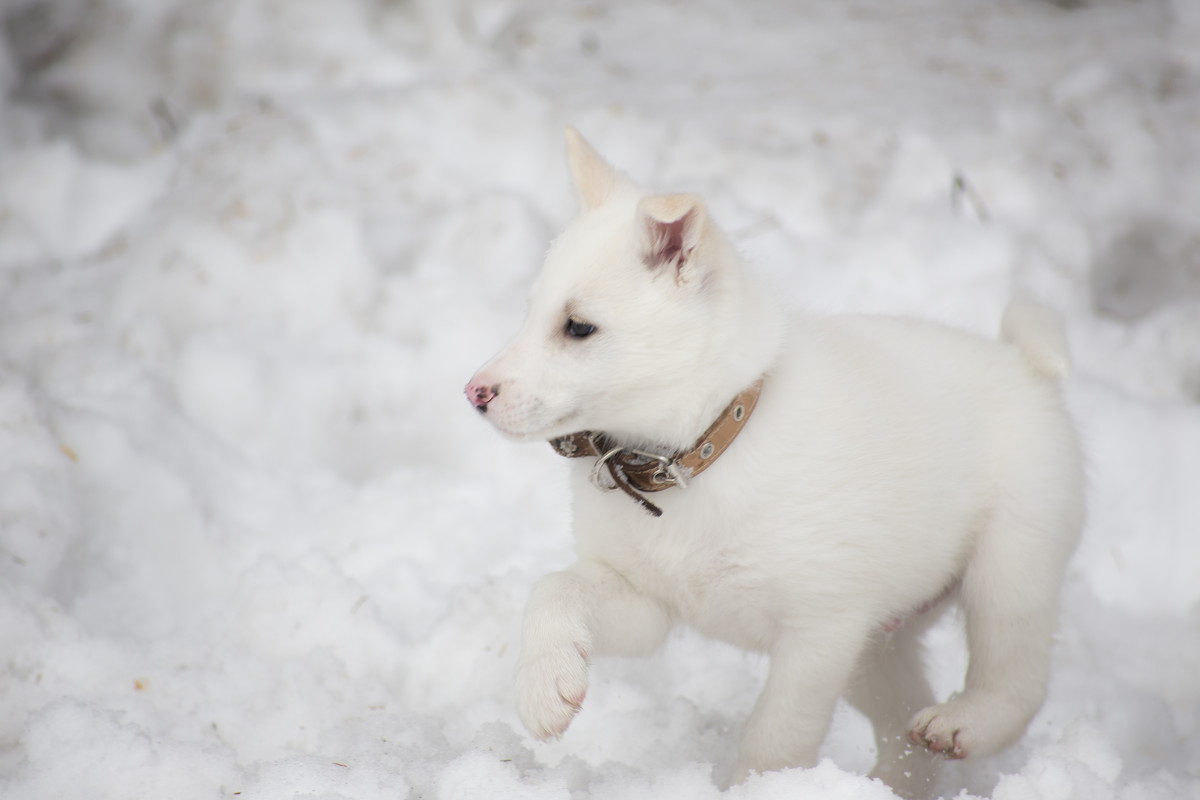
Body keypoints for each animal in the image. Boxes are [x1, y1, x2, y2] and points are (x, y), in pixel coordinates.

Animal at [463, 128, 1084, 796]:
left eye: (579, 327)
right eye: (529, 312)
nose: (473, 392)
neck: (693, 459)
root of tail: (1026, 364)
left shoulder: (818, 634)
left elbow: (775, 736)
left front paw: (760, 785)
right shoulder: (644, 604)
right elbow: (553, 589)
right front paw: (545, 684)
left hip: (1010, 564)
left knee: (1018, 678)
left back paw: (964, 721)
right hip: (878, 646)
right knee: (906, 735)